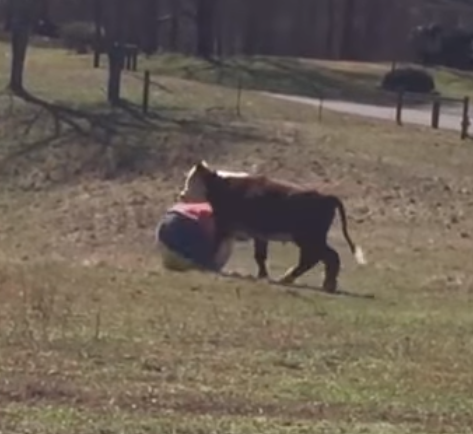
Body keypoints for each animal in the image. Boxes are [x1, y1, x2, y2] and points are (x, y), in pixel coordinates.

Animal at [179, 161, 366, 294]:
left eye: (191, 180)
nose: (182, 195)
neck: (222, 187)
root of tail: (326, 197)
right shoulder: (259, 235)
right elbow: (260, 256)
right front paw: (263, 275)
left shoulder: (224, 226)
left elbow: (218, 246)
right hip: (311, 239)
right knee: (318, 258)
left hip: (309, 239)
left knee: (323, 257)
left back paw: (317, 282)